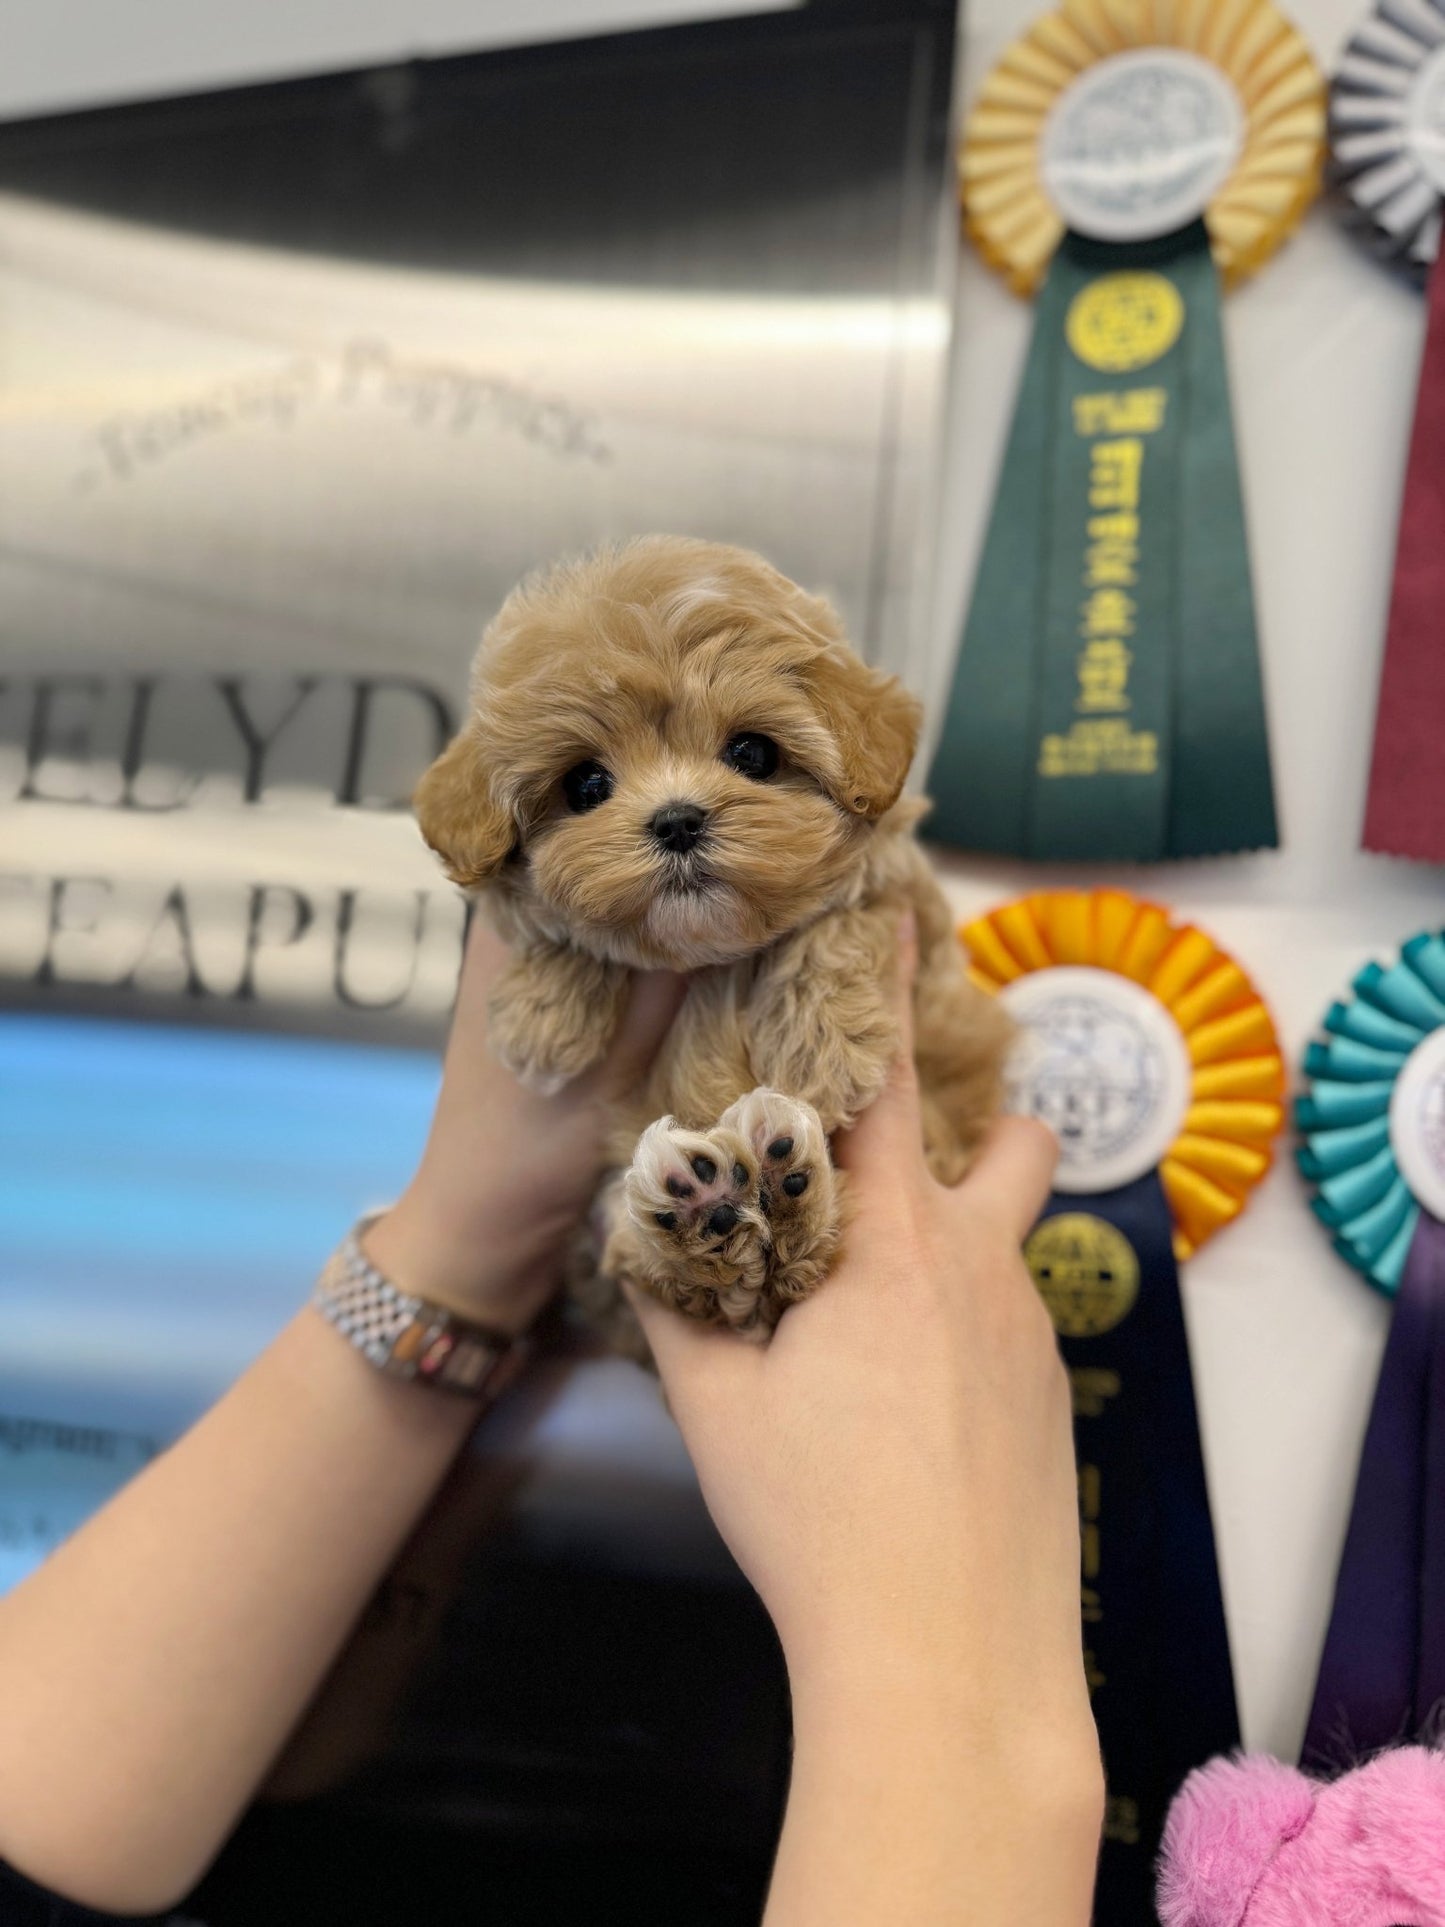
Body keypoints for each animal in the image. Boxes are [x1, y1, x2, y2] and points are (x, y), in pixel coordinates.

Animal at [412, 543, 1009, 1348]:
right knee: (700, 1283)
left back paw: (772, 1188)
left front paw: (825, 1045)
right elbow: (560, 930)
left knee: (771, 1276)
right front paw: (544, 1013)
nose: (676, 820)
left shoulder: (908, 905)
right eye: (586, 784)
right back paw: (707, 1208)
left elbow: (837, 923)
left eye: (753, 752)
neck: (705, 955)